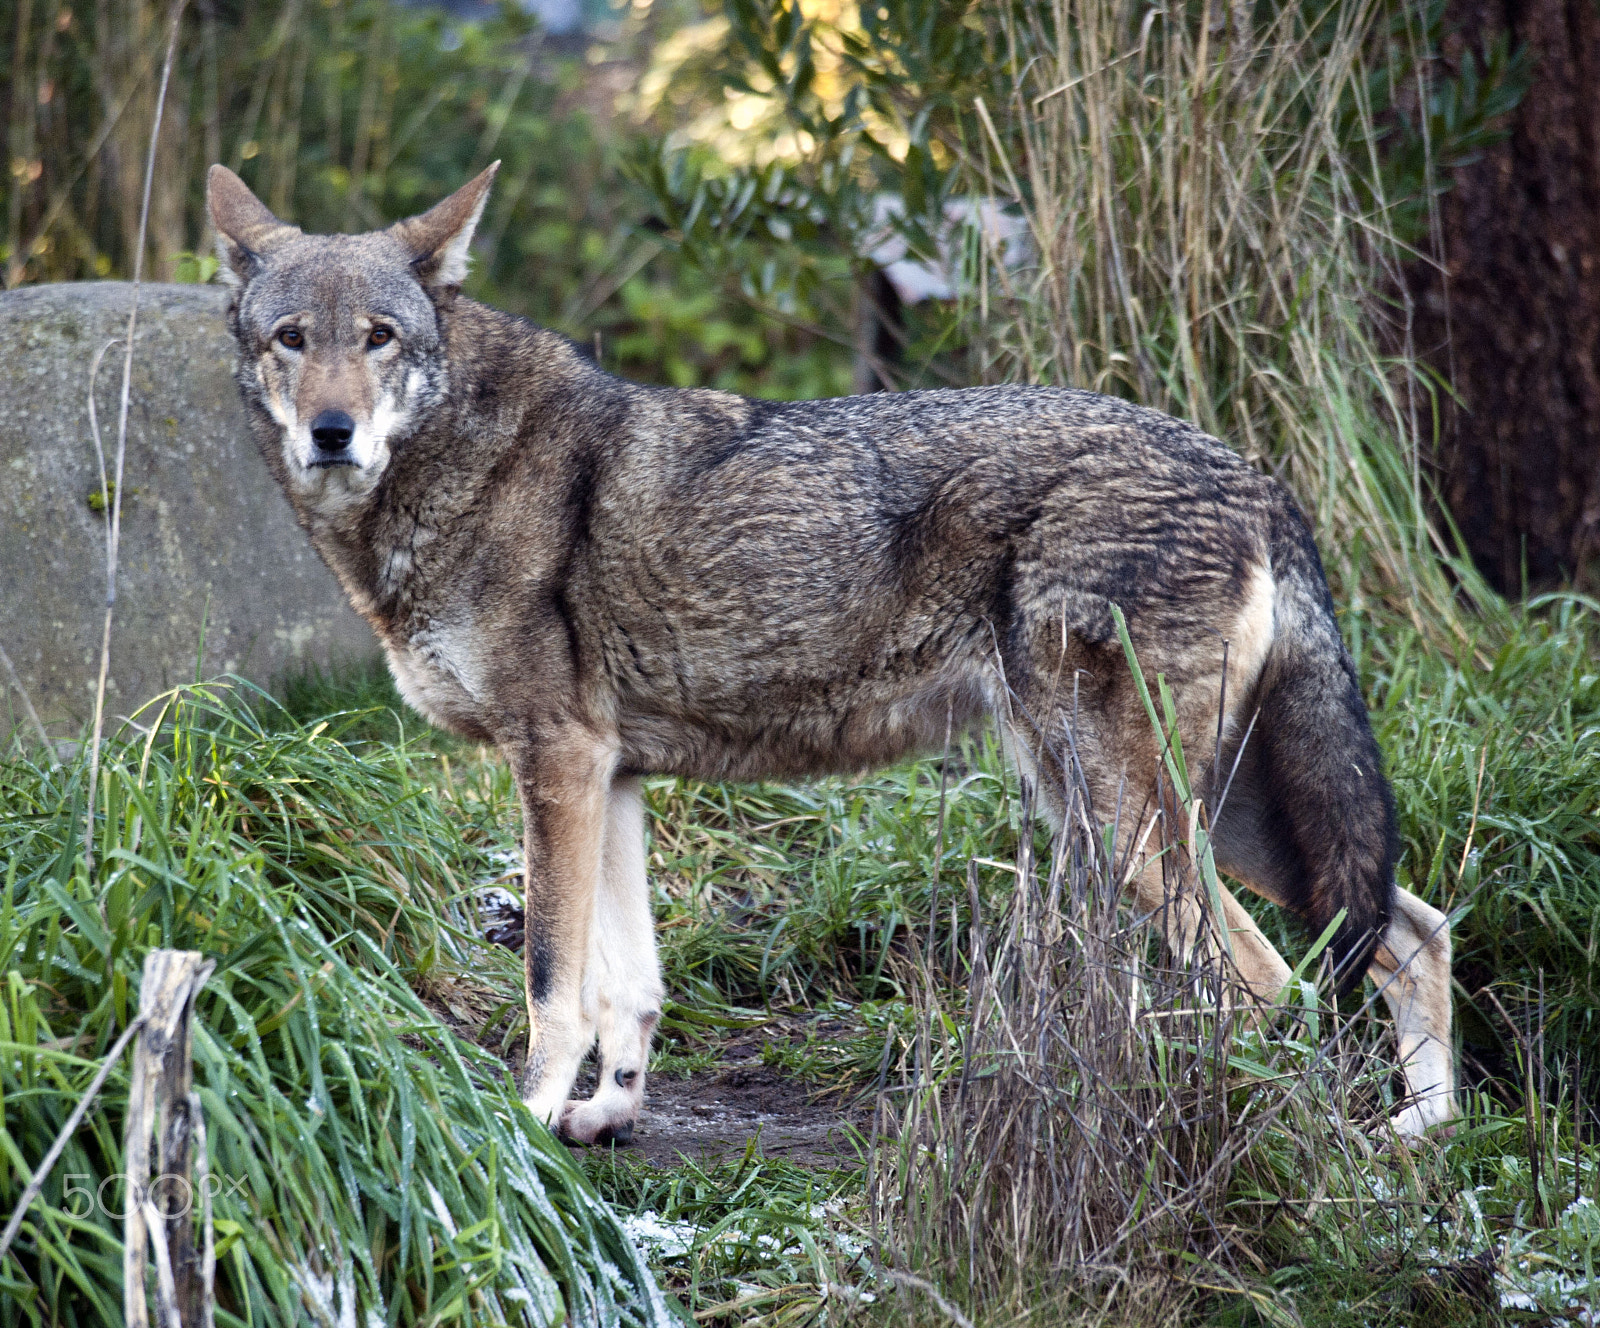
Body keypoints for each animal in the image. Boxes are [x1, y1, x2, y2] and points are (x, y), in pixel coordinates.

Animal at [207, 163, 1457, 1142]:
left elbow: (553, 981)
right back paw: (1418, 1138)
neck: (461, 470)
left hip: (1122, 821)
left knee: (1269, 983)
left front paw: (520, 1129)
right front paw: (605, 1113)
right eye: (291, 340)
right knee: (1413, 931)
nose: (330, 433)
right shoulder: (608, 774)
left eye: (378, 338)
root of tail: (1252, 473)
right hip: (1206, 814)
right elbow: (629, 986)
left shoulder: (552, 763)